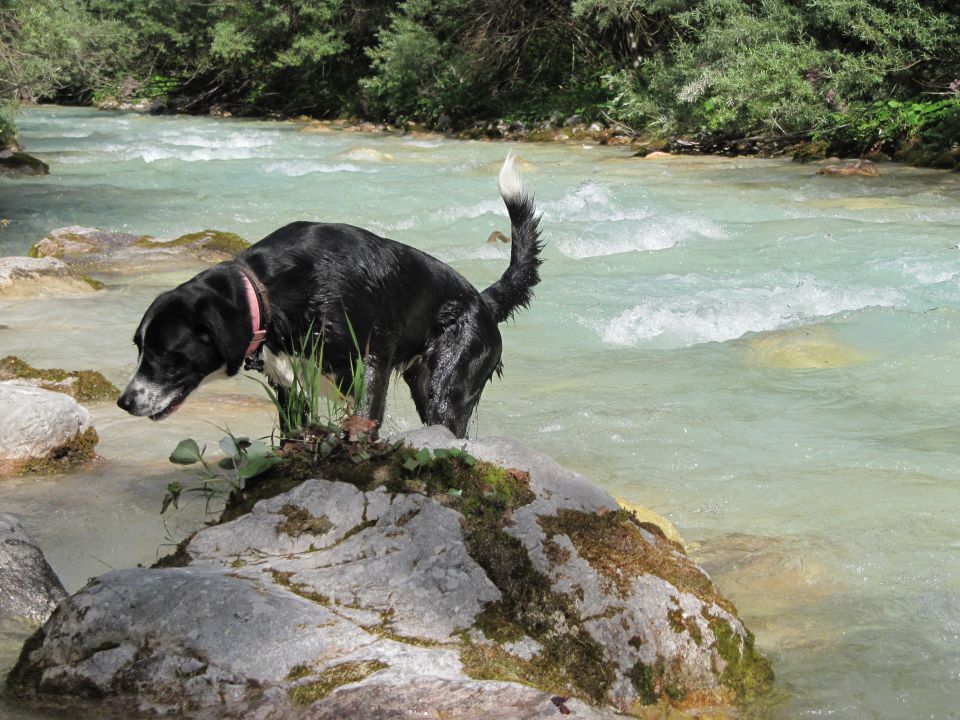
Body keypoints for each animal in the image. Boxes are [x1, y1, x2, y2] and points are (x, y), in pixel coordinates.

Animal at [116, 155, 540, 438]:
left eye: (164, 353)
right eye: (139, 347)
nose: (124, 402)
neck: (271, 292)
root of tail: (483, 302)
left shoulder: (370, 363)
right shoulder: (289, 389)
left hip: (446, 390)